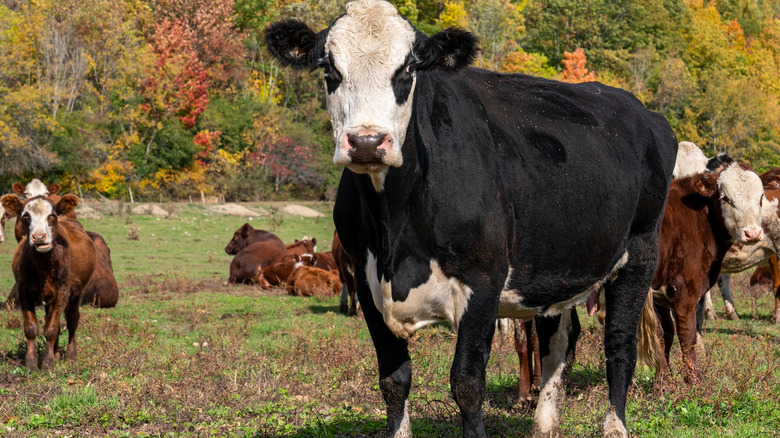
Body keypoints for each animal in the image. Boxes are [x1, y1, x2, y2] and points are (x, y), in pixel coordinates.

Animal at [0, 193, 95, 372]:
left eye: (52, 216)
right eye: (25, 217)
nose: (39, 237)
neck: (43, 264)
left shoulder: (62, 292)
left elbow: (51, 329)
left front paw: (47, 363)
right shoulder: (23, 291)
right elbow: (31, 328)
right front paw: (32, 363)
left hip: (76, 293)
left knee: (72, 319)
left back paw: (70, 355)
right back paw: (56, 353)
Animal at [264, 1, 676, 436]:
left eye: (408, 69)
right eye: (330, 69)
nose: (366, 142)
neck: (395, 231)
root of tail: (642, 110)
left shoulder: (484, 279)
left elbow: (467, 382)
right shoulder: (367, 282)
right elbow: (393, 381)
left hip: (640, 255)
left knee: (620, 344)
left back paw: (614, 426)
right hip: (558, 265)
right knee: (560, 339)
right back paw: (544, 425)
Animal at [644, 164, 764, 384]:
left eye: (760, 197)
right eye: (725, 198)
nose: (752, 233)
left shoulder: (658, 294)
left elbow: (663, 336)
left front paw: (664, 382)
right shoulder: (685, 290)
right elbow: (688, 337)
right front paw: (694, 382)